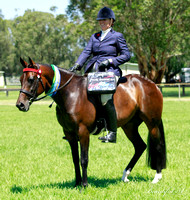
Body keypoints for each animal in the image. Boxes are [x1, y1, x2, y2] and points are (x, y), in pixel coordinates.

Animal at [16, 57, 166, 188]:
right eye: (20, 79)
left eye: (31, 79)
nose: (20, 105)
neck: (71, 93)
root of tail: (152, 84)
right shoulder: (70, 133)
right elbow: (75, 159)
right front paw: (76, 183)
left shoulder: (83, 131)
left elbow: (84, 159)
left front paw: (84, 185)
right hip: (129, 126)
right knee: (140, 146)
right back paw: (125, 175)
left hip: (152, 124)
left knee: (157, 145)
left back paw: (157, 177)